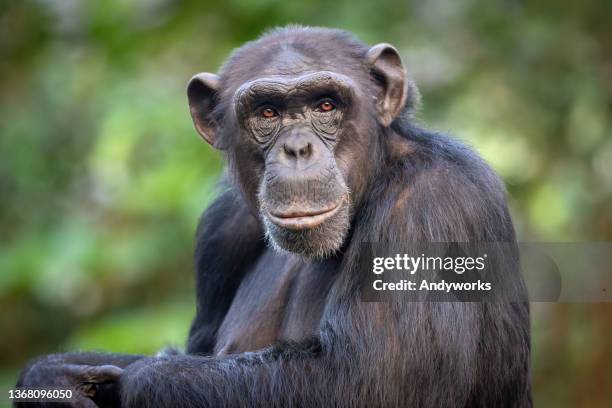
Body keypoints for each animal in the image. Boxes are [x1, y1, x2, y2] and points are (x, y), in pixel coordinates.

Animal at [14, 26, 532, 408]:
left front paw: (130, 380)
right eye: (267, 113)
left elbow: (364, 382)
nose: (297, 148)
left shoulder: (430, 206)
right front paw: (50, 378)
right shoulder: (222, 228)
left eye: (326, 104)